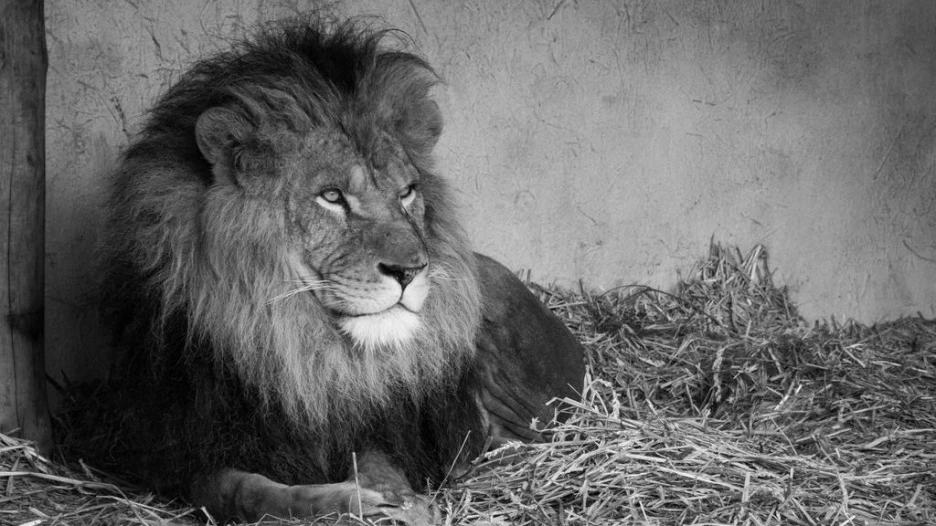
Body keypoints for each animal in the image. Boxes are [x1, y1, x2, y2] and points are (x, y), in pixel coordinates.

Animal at [99, 17, 584, 525]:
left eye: (407, 192)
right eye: (331, 197)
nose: (411, 270)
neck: (296, 350)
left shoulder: (379, 426)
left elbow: (377, 461)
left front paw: (401, 502)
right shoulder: (181, 451)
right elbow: (244, 492)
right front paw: (348, 502)